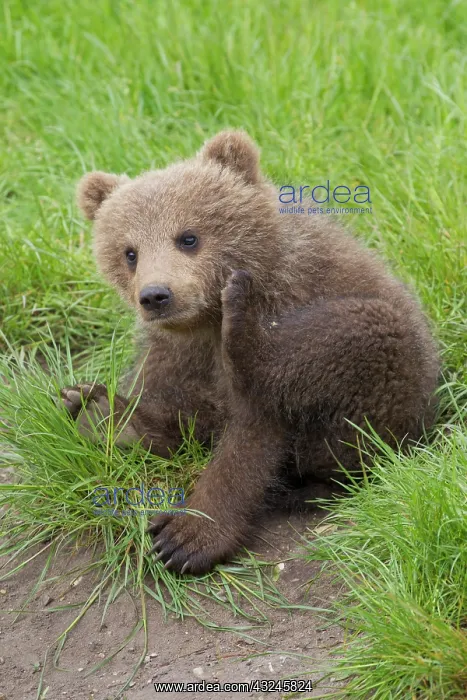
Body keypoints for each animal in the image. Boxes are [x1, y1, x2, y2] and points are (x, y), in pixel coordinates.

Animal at [62, 130, 440, 575]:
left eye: (188, 236)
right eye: (130, 252)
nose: (156, 296)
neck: (206, 320)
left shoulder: (287, 298)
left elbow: (252, 437)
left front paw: (185, 537)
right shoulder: (175, 352)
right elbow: (170, 414)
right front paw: (105, 413)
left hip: (394, 379)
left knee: (358, 339)